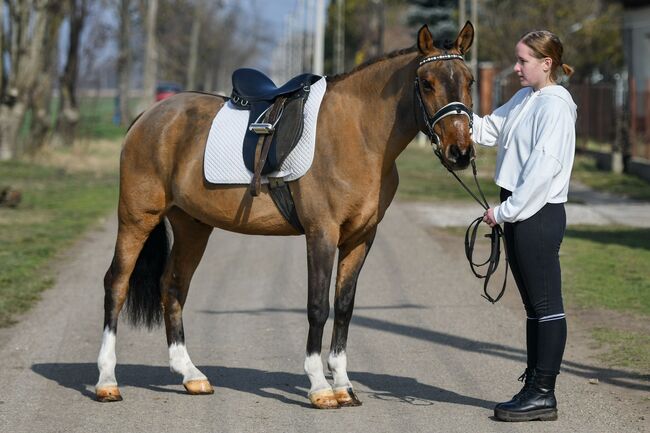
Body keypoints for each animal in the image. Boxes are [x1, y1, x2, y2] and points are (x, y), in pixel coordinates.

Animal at [96, 22, 474, 408]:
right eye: (426, 83)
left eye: (469, 80)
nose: (460, 152)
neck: (358, 134)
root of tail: (148, 116)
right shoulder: (322, 232)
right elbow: (318, 306)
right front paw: (320, 387)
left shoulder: (360, 238)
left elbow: (345, 306)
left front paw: (343, 385)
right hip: (137, 217)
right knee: (117, 284)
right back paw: (107, 381)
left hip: (193, 226)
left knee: (172, 286)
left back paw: (191, 376)